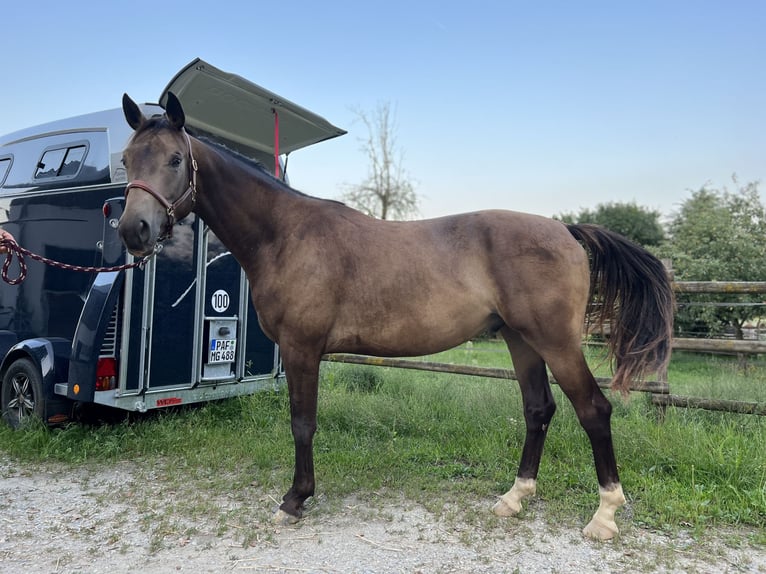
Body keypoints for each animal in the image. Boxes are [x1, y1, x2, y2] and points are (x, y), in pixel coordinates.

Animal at [117, 92, 676, 544]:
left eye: (175, 158)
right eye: (125, 159)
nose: (133, 229)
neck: (285, 234)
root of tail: (566, 230)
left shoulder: (302, 349)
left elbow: (302, 423)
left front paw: (295, 500)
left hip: (555, 342)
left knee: (593, 410)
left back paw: (604, 515)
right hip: (520, 341)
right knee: (539, 410)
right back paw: (514, 498)